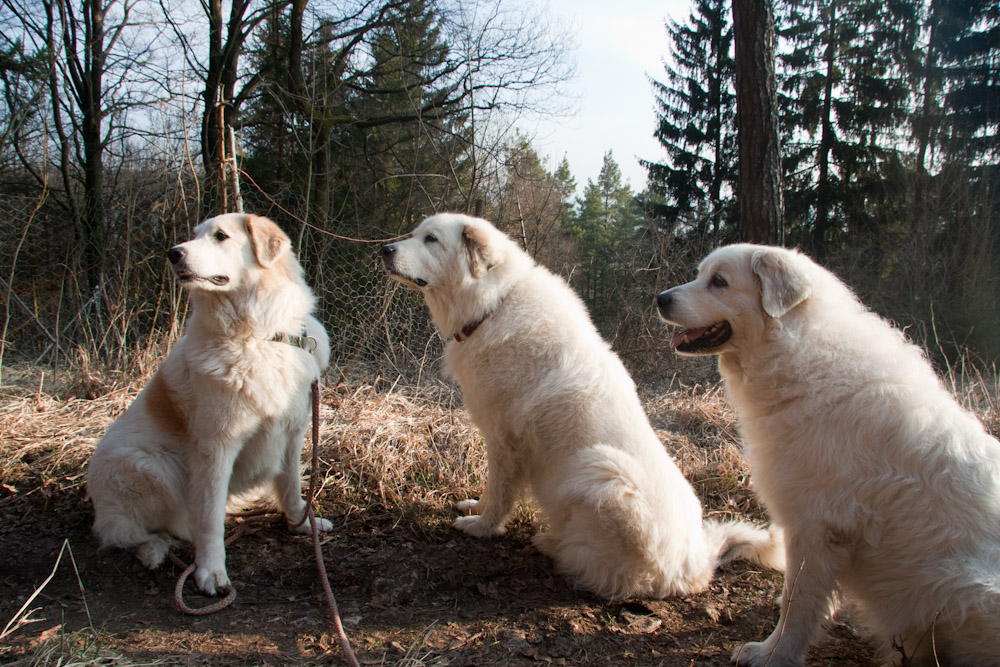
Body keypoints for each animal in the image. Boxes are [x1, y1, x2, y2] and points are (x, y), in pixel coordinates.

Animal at [86, 213, 332, 596]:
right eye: (194, 235)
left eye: (221, 236)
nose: (173, 253)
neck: (259, 336)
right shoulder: (217, 446)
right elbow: (209, 519)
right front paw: (211, 571)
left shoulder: (292, 432)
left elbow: (292, 485)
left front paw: (300, 524)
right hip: (149, 465)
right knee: (126, 533)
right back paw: (156, 550)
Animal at [382, 214, 780, 600]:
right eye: (415, 233)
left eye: (431, 239)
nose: (385, 249)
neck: (493, 304)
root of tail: (695, 564)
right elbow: (490, 489)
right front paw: (474, 508)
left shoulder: (504, 439)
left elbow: (500, 492)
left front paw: (481, 526)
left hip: (601, 468)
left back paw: (552, 543)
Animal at [656, 245, 1000, 667]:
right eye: (700, 274)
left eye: (719, 282)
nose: (661, 299)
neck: (794, 349)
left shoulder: (815, 525)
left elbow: (799, 601)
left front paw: (774, 653)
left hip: (966, 589)